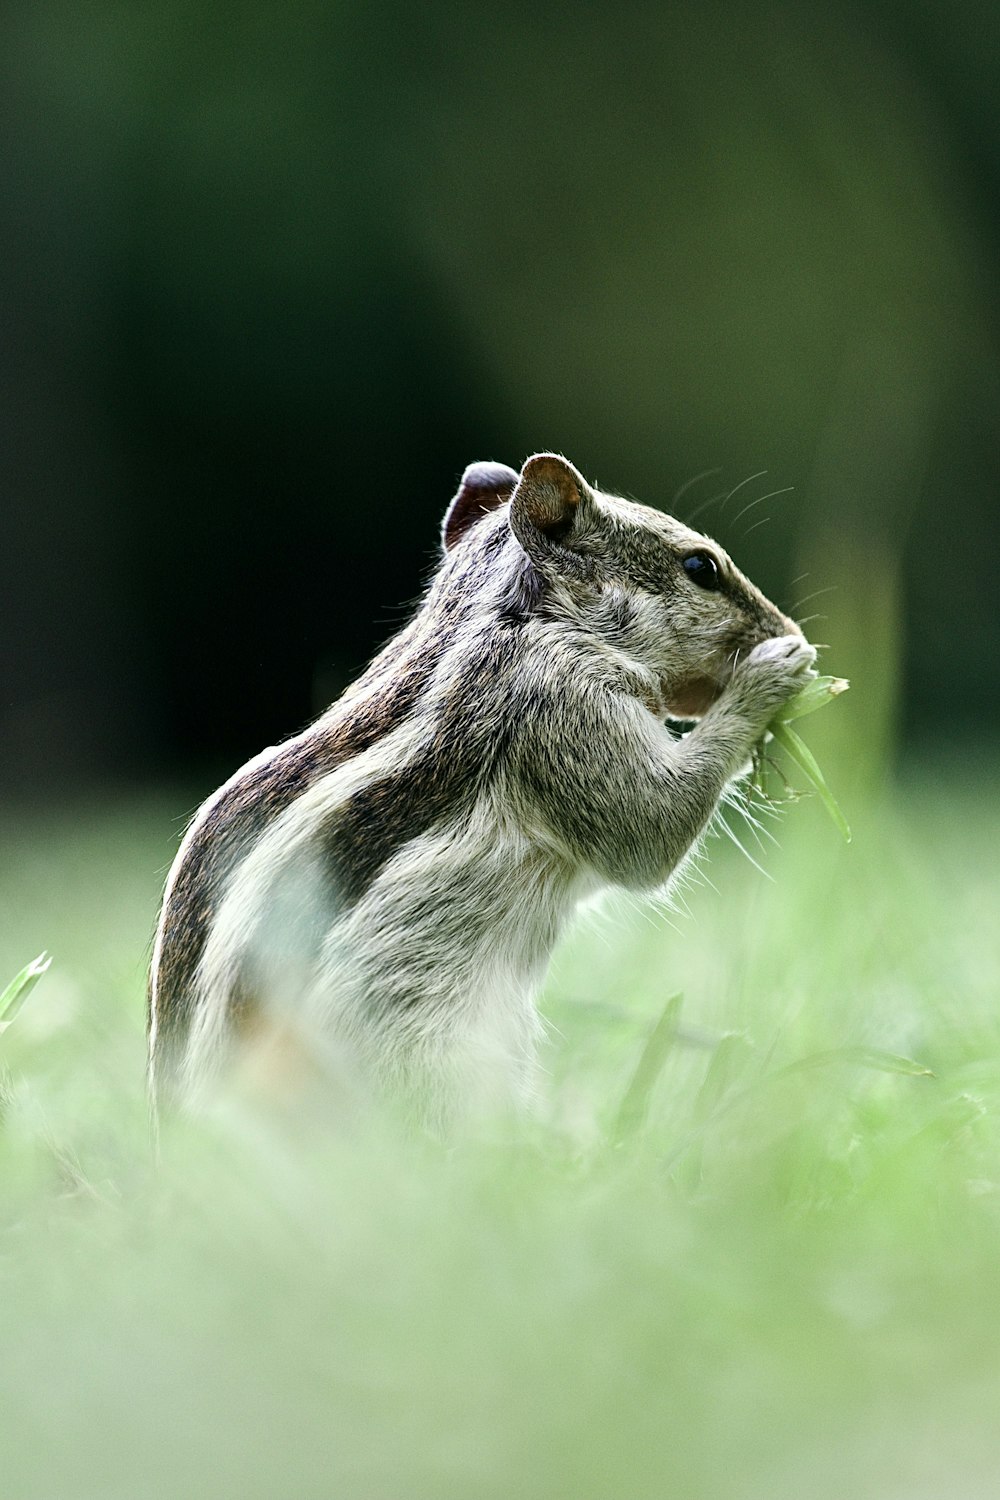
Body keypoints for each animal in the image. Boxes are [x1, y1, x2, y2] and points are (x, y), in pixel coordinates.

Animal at [150, 450, 821, 1122]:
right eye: (700, 567)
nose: (788, 628)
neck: (513, 620)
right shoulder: (560, 711)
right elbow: (650, 831)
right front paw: (774, 676)